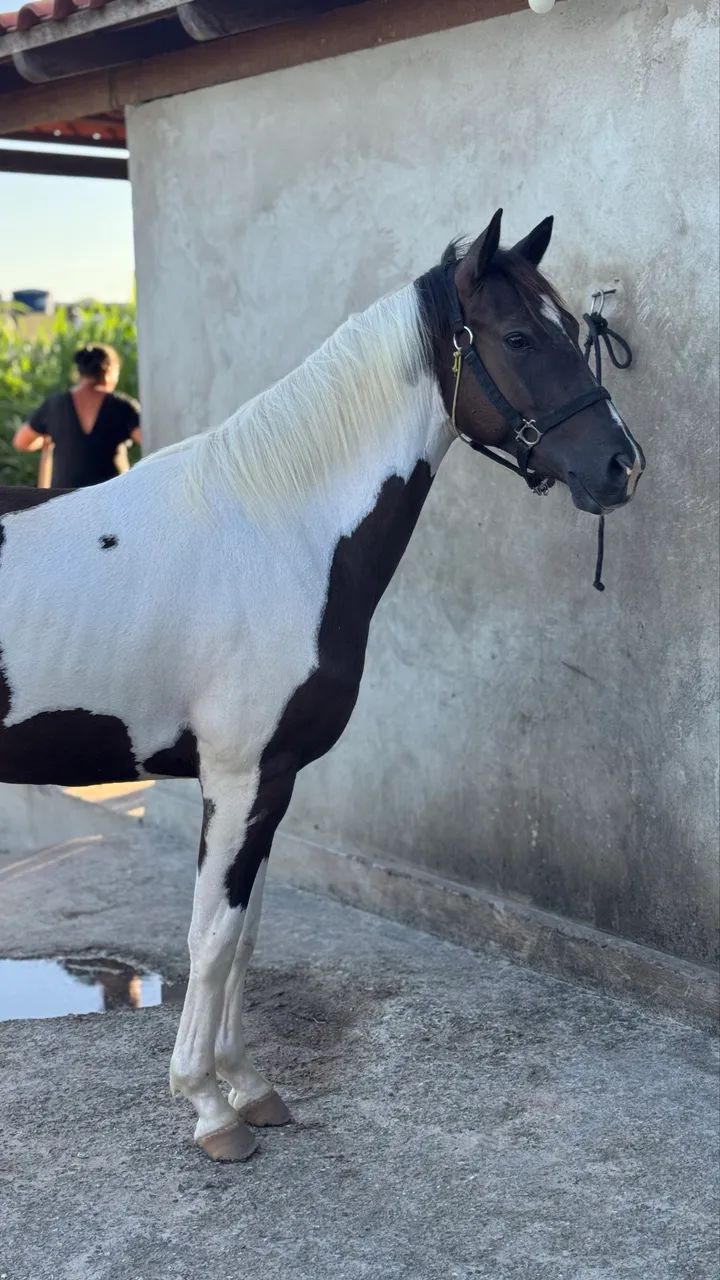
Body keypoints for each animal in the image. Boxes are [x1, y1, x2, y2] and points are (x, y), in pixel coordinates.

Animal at [0, 211, 644, 1161]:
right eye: (521, 337)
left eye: (574, 329)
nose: (620, 467)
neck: (276, 533)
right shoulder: (235, 782)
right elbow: (211, 937)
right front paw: (210, 1111)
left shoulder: (273, 782)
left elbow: (246, 936)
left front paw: (249, 1086)